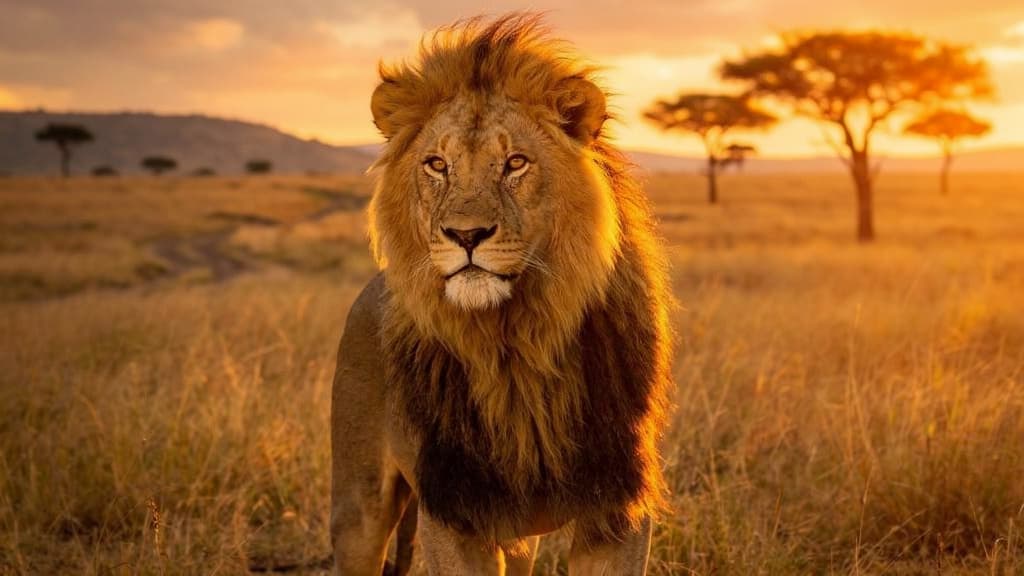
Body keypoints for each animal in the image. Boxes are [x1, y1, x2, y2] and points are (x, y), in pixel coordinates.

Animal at [330, 14, 673, 575]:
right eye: (436, 164)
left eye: (515, 163)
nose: (466, 235)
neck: (515, 344)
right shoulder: (455, 509)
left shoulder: (616, 506)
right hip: (358, 504)